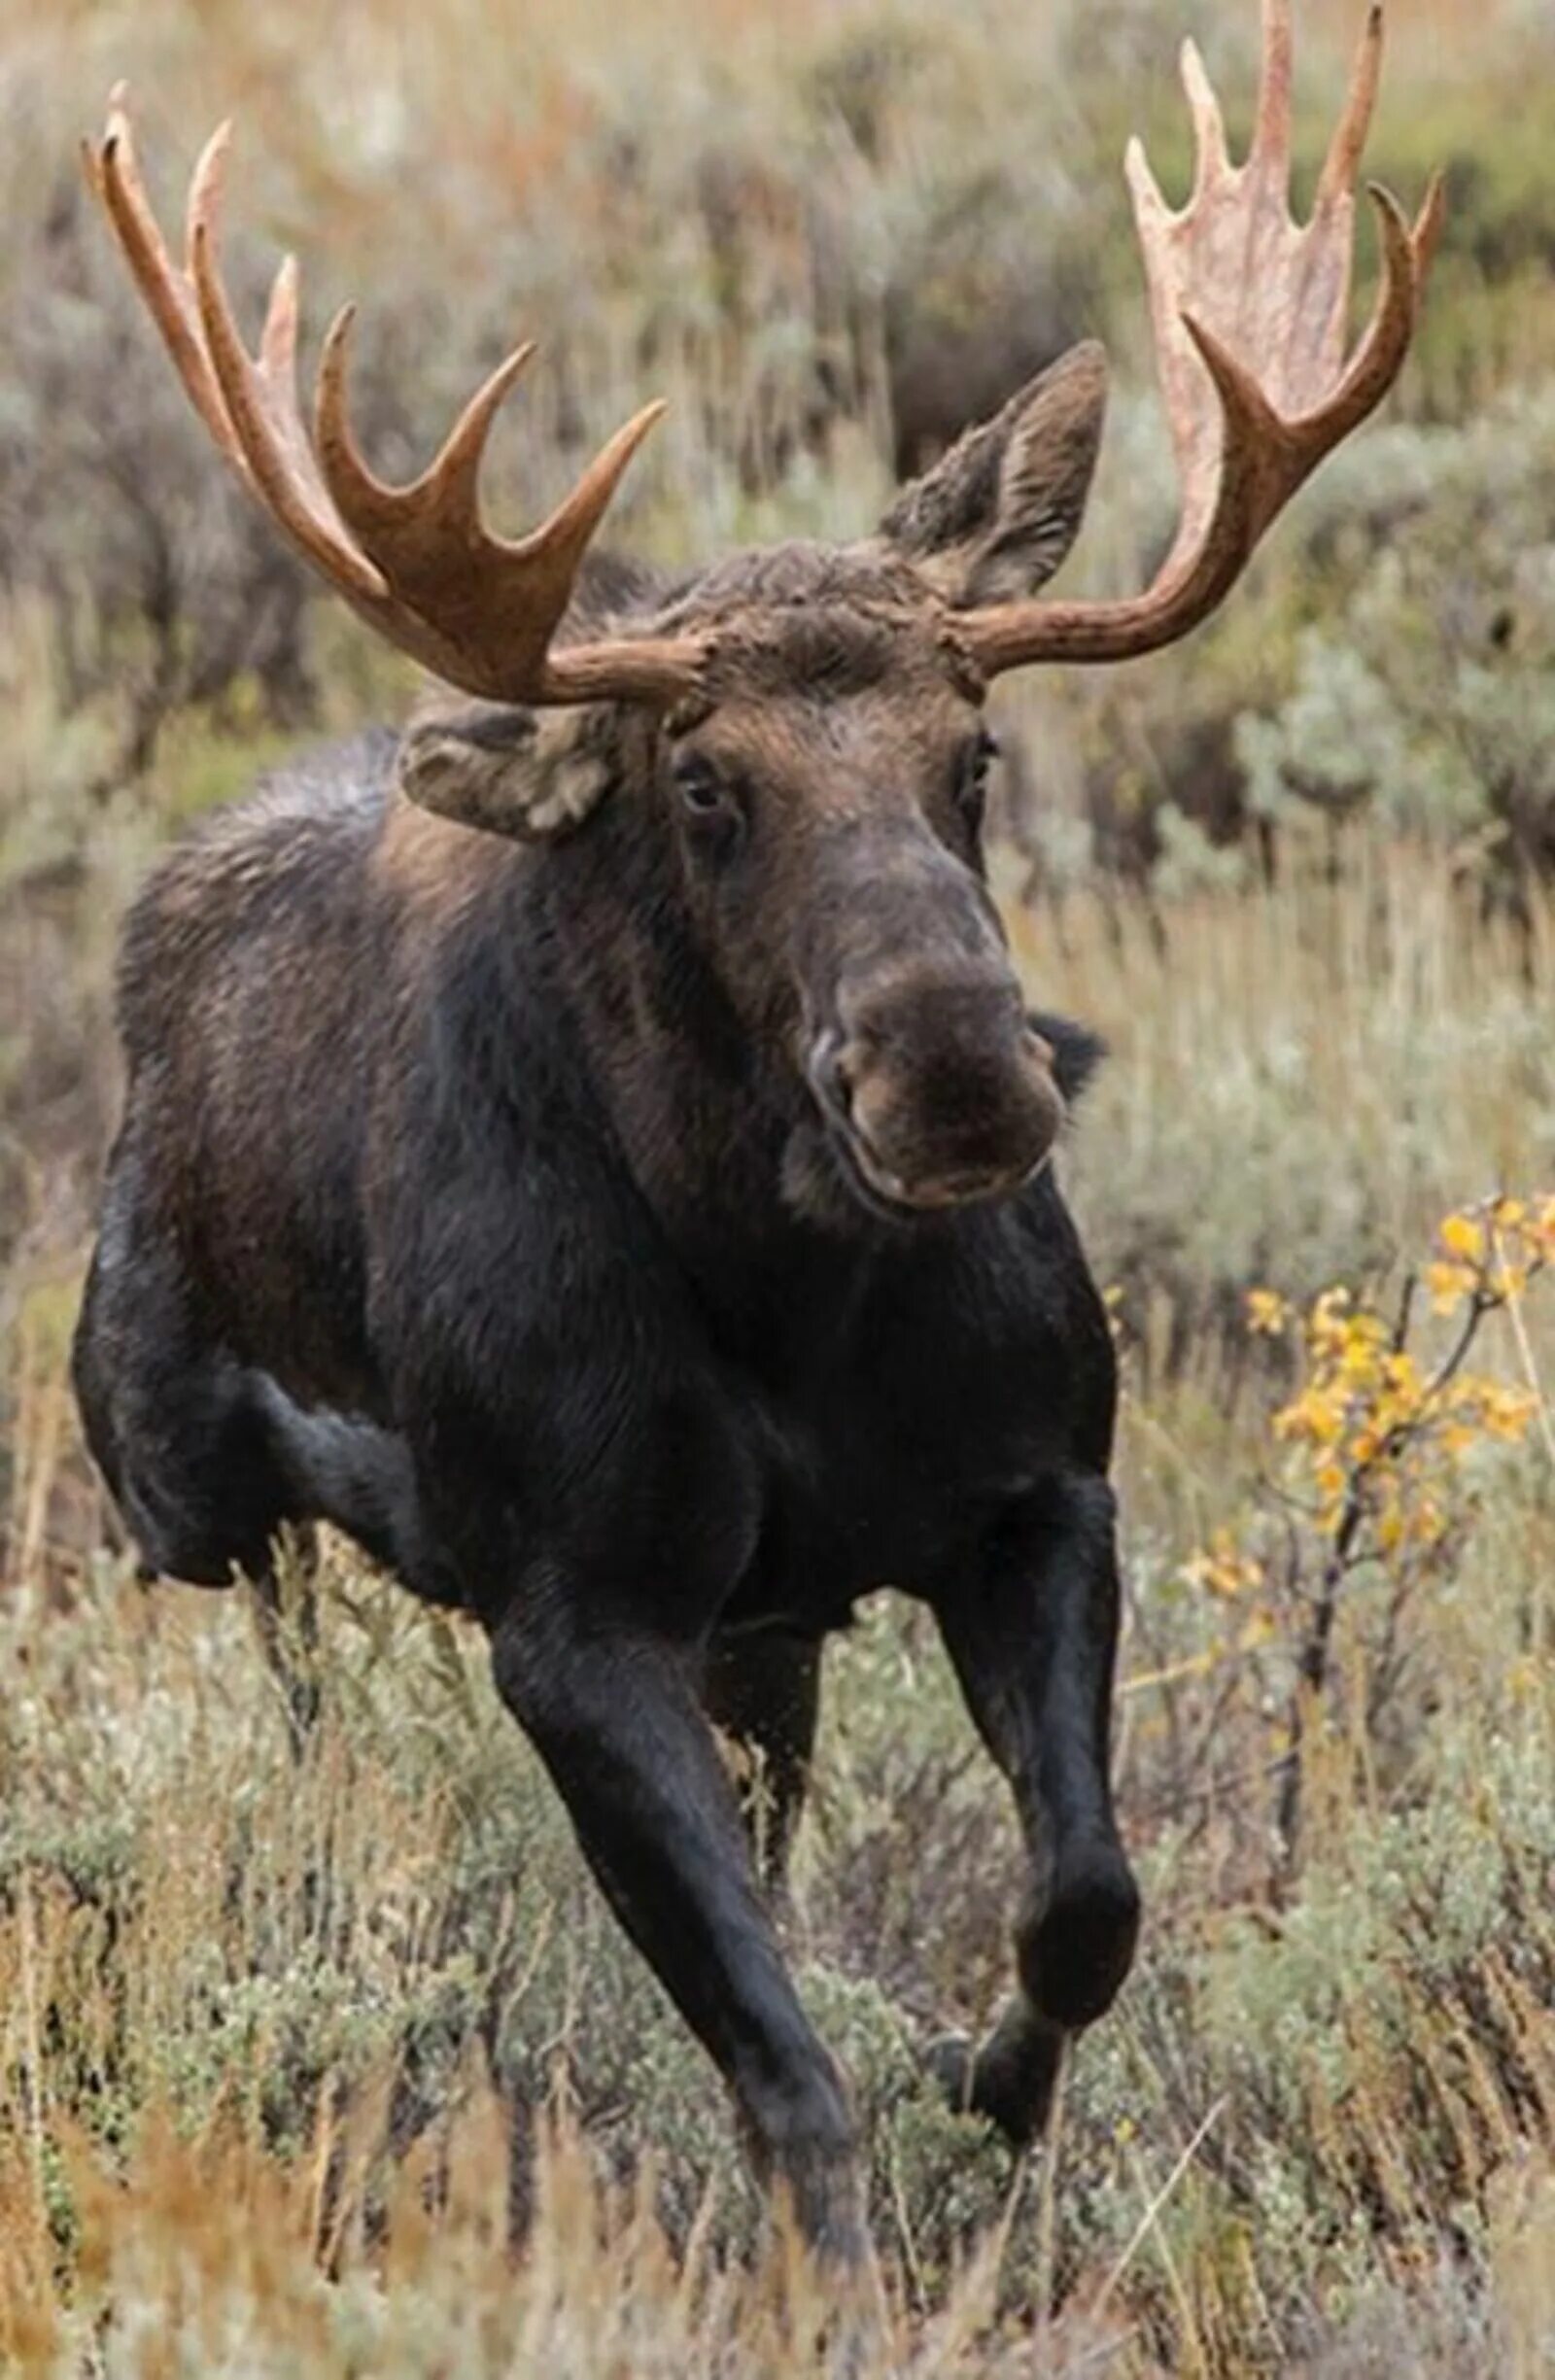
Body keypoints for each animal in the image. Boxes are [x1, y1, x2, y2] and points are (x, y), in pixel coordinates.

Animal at [72, 0, 1429, 2265]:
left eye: (974, 750)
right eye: (701, 785)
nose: (957, 1070)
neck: (789, 1300)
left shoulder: (1033, 1485)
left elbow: (1083, 1895)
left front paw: (988, 2091)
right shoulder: (569, 1612)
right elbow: (784, 2072)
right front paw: (850, 2271)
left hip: (758, 1633)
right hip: (175, 1480)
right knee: (288, 1683)